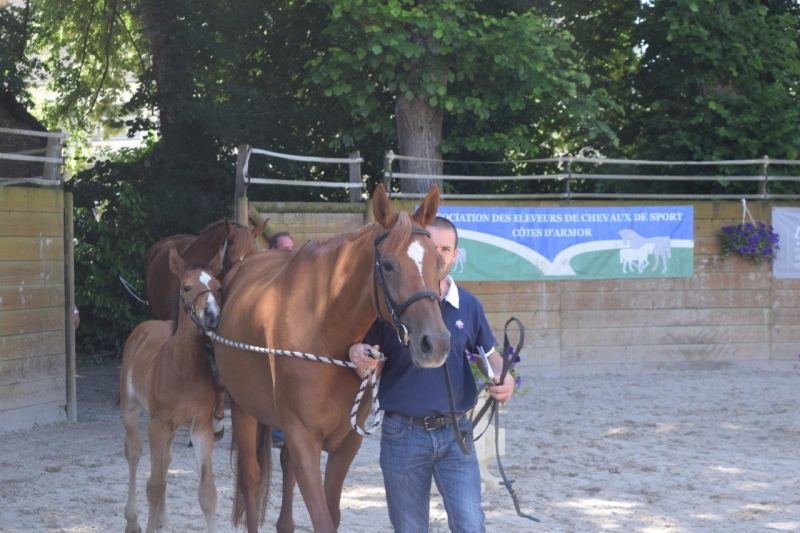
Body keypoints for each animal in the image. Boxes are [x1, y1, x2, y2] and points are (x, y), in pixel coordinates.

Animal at [120, 248, 223, 532]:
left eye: (218, 287)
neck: (183, 371)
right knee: (134, 450)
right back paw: (133, 520)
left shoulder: (201, 427)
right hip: (131, 407)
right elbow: (154, 485)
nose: (212, 315)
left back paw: (161, 520)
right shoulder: (157, 424)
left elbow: (207, 492)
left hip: (173, 426)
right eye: (186, 287)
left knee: (165, 460)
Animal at [211, 185, 450, 528]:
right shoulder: (303, 439)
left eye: (438, 261)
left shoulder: (346, 443)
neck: (324, 330)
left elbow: (332, 513)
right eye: (388, 265)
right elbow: (322, 518)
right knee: (251, 479)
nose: (436, 343)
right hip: (243, 408)